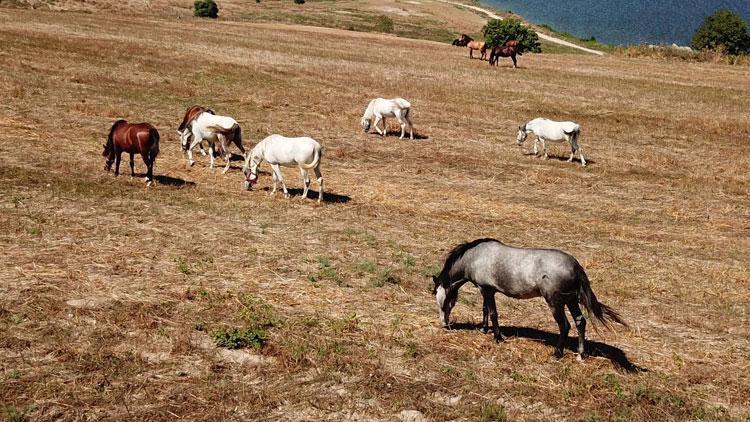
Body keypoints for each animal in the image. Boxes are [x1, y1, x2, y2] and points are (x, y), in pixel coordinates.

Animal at [434, 239, 628, 358]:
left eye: (445, 302)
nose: (444, 324)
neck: (475, 256)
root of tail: (575, 265)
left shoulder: (488, 290)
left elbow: (493, 313)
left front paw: (497, 337)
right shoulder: (485, 291)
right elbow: (485, 310)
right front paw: (483, 329)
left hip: (555, 302)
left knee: (565, 325)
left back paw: (557, 353)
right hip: (571, 300)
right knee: (580, 321)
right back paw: (581, 354)